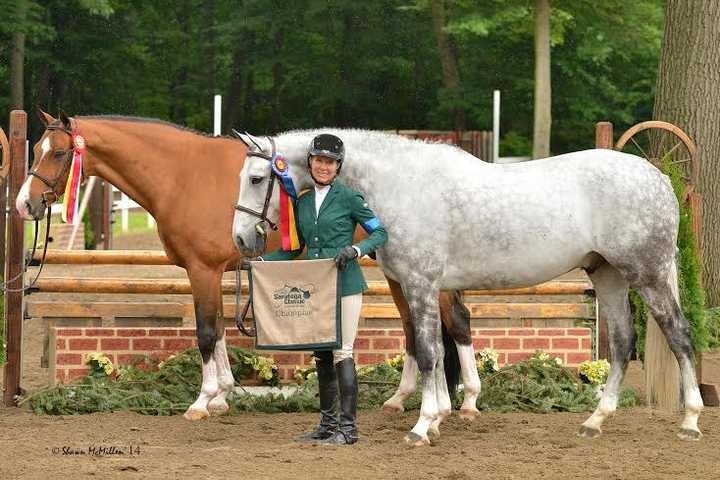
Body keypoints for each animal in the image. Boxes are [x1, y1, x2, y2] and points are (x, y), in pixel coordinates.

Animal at [15, 110, 478, 422]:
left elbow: (205, 333)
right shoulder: (212, 271)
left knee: (454, 322)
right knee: (412, 330)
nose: (24, 204)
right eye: (35, 150)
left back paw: (468, 400)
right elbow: (219, 330)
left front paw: (203, 400)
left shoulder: (202, 270)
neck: (181, 174)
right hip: (399, 274)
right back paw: (401, 399)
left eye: (58, 153)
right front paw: (222, 394)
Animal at [235, 127, 704, 442]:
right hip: (607, 274)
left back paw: (690, 420)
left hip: (648, 274)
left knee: (679, 335)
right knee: (623, 341)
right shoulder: (421, 287)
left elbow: (428, 352)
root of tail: (660, 179)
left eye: (256, 178)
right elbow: (438, 350)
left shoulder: (422, 285)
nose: (241, 239)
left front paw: (423, 425)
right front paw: (439, 416)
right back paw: (595, 420)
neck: (401, 185)